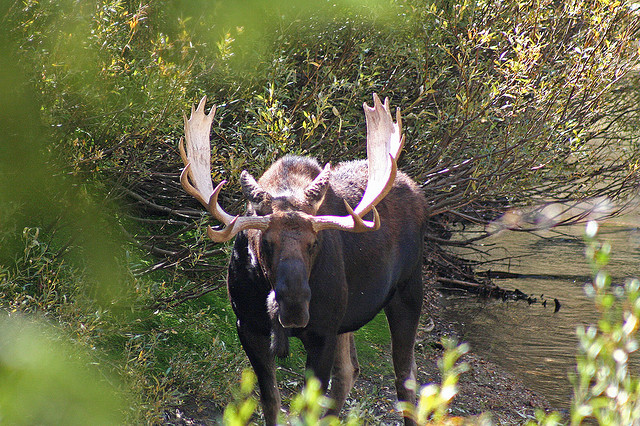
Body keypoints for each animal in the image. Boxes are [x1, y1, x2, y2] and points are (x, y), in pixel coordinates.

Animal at [178, 95, 428, 424]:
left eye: (315, 242)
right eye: (266, 242)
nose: (294, 305)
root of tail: (417, 191)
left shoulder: (322, 332)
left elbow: (308, 406)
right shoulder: (248, 326)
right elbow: (271, 400)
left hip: (408, 291)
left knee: (405, 376)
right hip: (347, 320)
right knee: (350, 371)